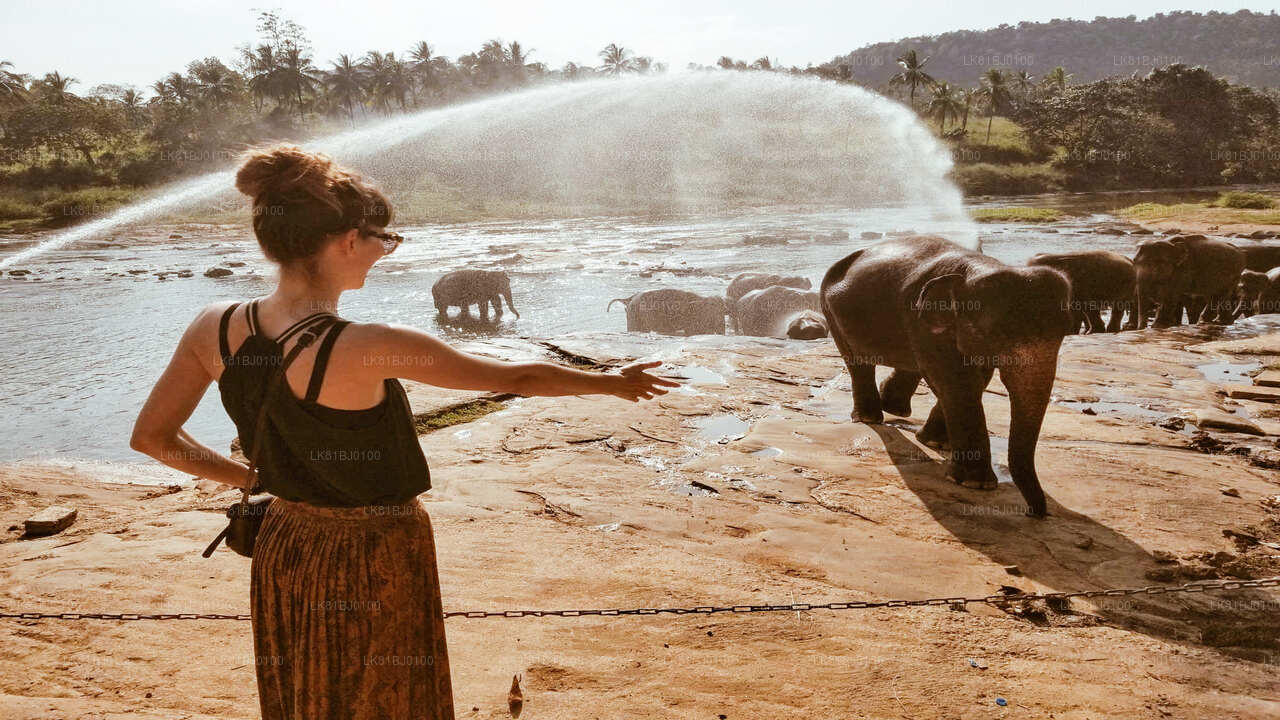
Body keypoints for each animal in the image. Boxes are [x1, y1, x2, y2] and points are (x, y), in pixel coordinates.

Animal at [819, 235, 1070, 515]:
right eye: (996, 333)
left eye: (1063, 334)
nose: (1035, 512)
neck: (977, 269)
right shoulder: (921, 321)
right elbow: (957, 381)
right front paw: (975, 484)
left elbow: (976, 379)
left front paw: (936, 445)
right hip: (830, 309)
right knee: (857, 362)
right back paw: (869, 418)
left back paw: (894, 408)